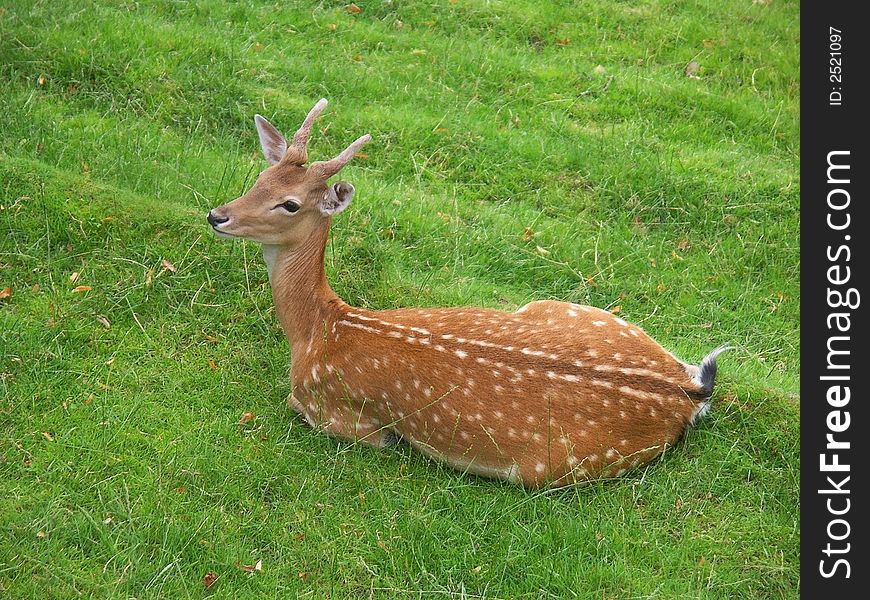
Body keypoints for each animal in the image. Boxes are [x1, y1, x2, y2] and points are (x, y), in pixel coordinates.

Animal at [208, 98, 732, 490]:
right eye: (261, 178)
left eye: (290, 204)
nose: (217, 215)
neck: (317, 332)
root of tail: (688, 390)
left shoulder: (335, 413)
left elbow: (307, 408)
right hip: (566, 308)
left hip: (553, 468)